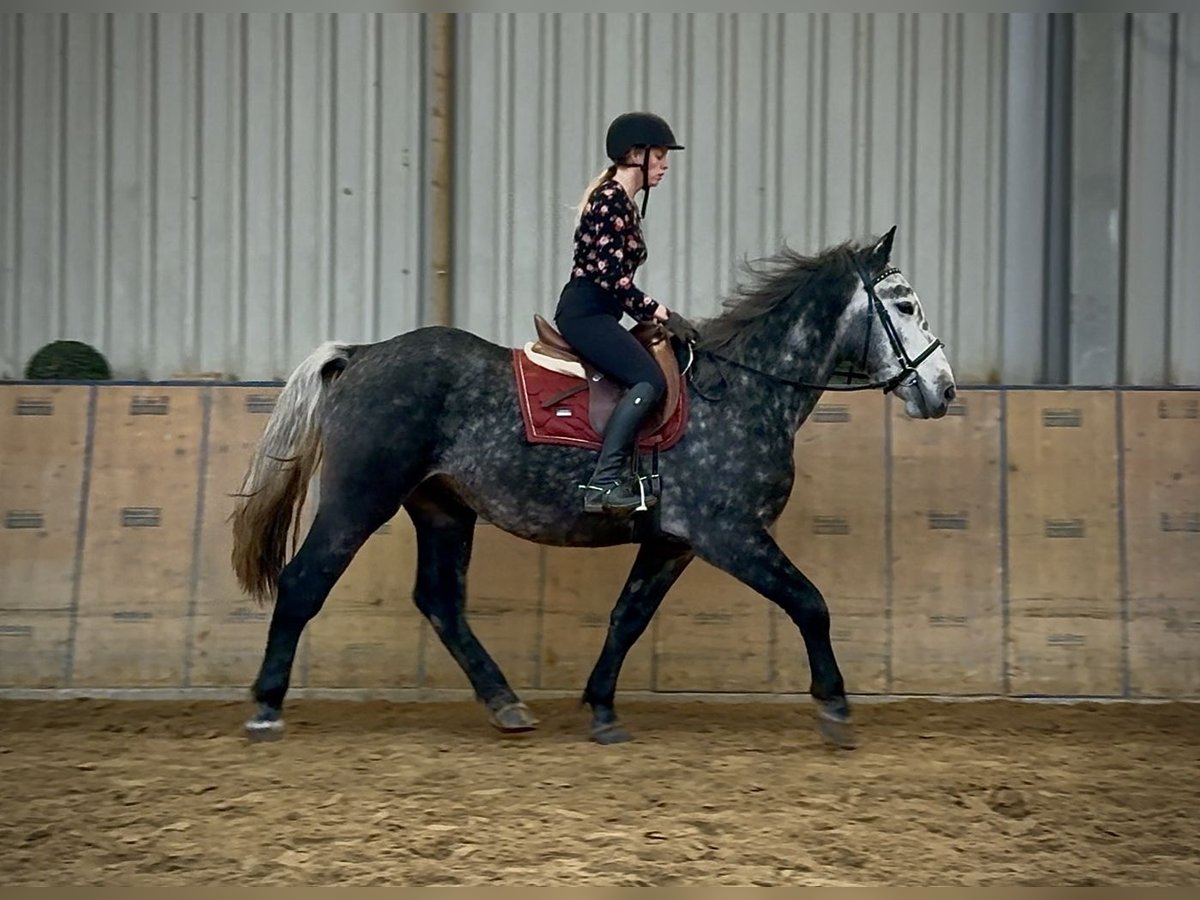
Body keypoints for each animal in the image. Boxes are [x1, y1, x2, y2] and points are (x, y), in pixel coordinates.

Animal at [229, 225, 956, 747]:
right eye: (904, 304)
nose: (944, 390)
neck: (746, 390)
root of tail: (363, 354)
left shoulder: (672, 542)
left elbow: (627, 617)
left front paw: (602, 708)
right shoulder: (729, 534)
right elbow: (811, 603)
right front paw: (834, 705)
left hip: (443, 509)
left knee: (440, 602)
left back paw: (507, 704)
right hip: (360, 499)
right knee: (304, 582)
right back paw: (265, 708)